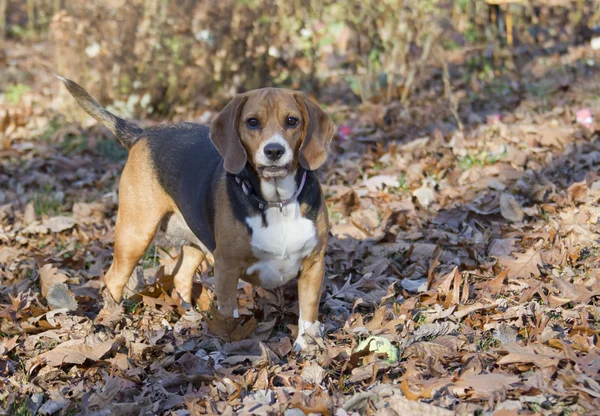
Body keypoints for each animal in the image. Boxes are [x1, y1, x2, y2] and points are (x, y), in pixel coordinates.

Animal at [56, 76, 336, 350]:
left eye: (292, 121)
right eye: (252, 122)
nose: (274, 150)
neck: (277, 202)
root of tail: (144, 133)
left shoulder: (313, 265)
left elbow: (308, 311)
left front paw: (307, 345)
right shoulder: (227, 268)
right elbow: (229, 314)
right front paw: (232, 342)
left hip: (193, 241)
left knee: (180, 276)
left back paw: (188, 314)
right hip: (135, 235)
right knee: (114, 279)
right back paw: (109, 320)